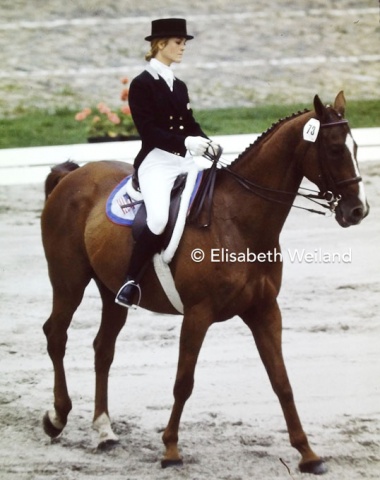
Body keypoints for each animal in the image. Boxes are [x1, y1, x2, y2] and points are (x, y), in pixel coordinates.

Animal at [40, 92, 368, 474]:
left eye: (355, 146)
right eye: (334, 148)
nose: (358, 210)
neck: (239, 220)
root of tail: (73, 175)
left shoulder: (265, 310)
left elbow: (281, 381)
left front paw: (308, 453)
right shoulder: (198, 314)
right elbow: (184, 382)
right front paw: (170, 450)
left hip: (111, 290)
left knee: (103, 349)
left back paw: (104, 430)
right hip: (68, 281)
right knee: (56, 335)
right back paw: (57, 418)